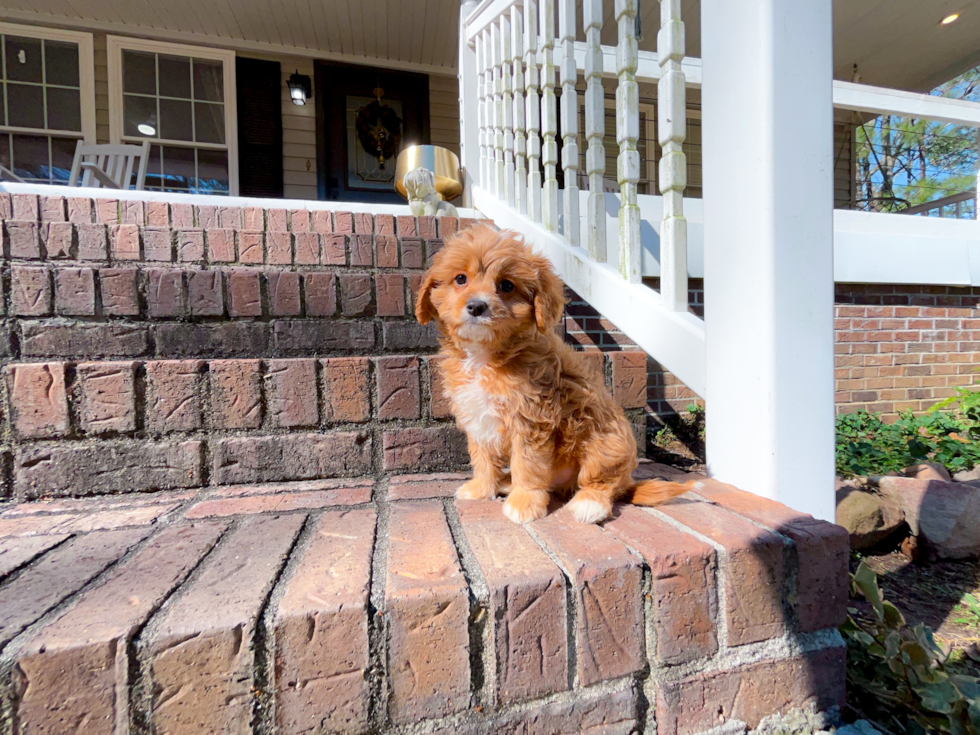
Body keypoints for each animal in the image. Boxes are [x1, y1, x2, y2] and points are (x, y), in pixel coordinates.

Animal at [414, 224, 696, 524]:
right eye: (460, 279)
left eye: (506, 285)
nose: (477, 307)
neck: (485, 354)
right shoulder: (477, 415)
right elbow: (482, 456)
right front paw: (481, 489)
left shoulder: (531, 418)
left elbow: (528, 464)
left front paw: (524, 503)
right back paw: (508, 484)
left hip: (606, 441)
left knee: (603, 482)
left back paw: (588, 503)